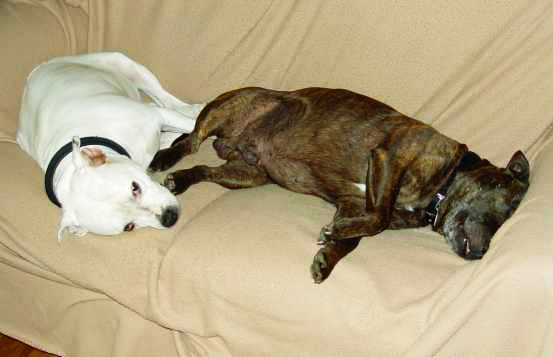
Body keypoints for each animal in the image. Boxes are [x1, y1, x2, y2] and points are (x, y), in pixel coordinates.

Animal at [16, 51, 205, 241]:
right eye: (129, 227)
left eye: (134, 188)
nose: (170, 217)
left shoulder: (157, 116)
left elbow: (192, 125)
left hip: (124, 65)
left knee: (167, 100)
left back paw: (196, 108)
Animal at [149, 86, 528, 280]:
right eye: (507, 205)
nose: (481, 253)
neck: (441, 188)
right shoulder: (390, 157)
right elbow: (377, 219)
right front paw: (334, 236)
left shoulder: (352, 203)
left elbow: (356, 237)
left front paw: (329, 254)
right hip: (233, 107)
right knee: (190, 140)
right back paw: (165, 158)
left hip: (247, 174)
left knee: (206, 169)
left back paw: (182, 178)